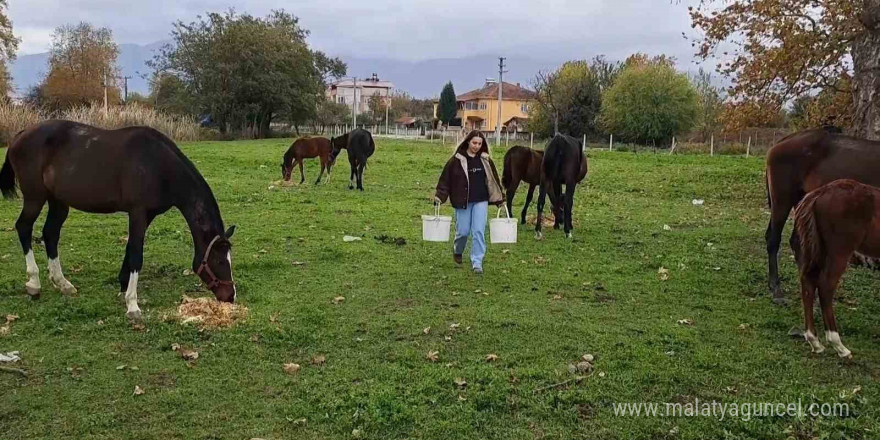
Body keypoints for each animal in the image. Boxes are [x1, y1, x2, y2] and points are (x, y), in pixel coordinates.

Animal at [0, 118, 237, 322]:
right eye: (219, 261)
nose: (230, 296)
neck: (158, 165)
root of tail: (20, 135)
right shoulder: (138, 212)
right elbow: (137, 255)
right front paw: (132, 305)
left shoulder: (147, 215)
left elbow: (130, 248)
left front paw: (123, 285)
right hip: (35, 197)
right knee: (24, 227)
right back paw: (34, 283)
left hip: (58, 202)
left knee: (50, 234)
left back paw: (63, 283)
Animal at [764, 126, 880, 306]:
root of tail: (781, 142)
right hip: (782, 199)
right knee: (773, 239)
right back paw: (777, 289)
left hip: (802, 201)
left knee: (797, 243)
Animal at [796, 178, 880, 358]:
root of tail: (818, 194)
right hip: (839, 251)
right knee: (826, 286)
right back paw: (838, 345)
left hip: (819, 249)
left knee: (808, 281)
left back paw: (814, 341)